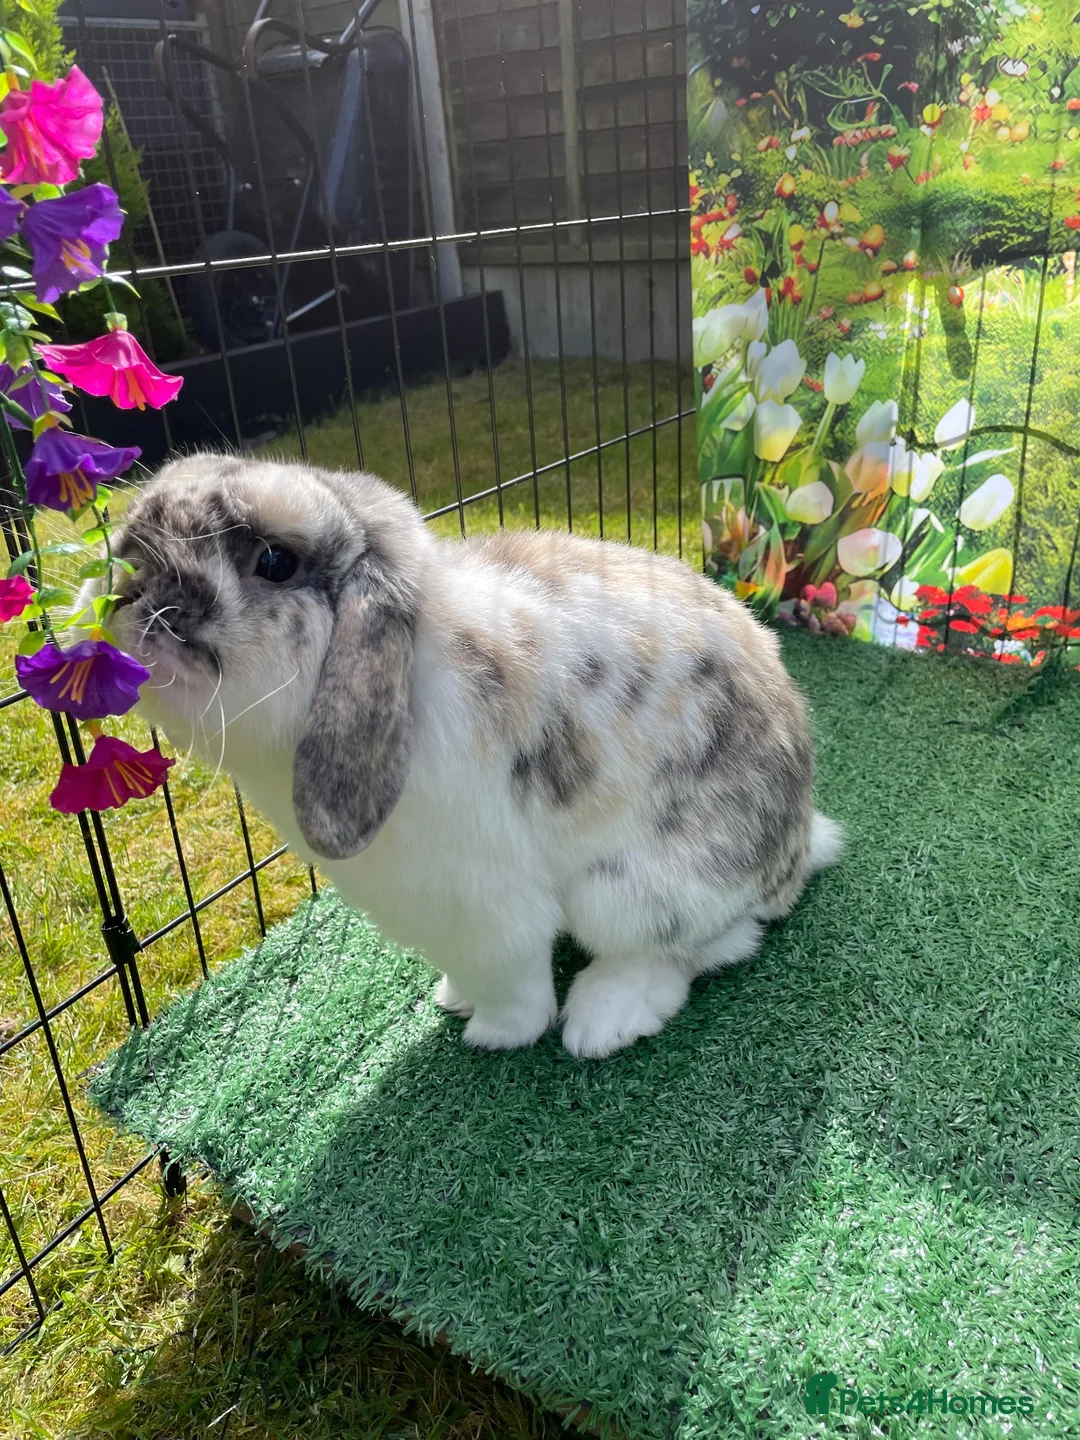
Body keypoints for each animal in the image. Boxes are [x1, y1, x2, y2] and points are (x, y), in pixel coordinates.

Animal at [100, 454, 842, 1059]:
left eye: (274, 560)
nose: (129, 580)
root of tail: (799, 843)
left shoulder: (483, 904)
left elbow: (511, 980)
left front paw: (497, 1032)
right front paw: (452, 998)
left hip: (630, 891)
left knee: (698, 949)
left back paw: (601, 1019)